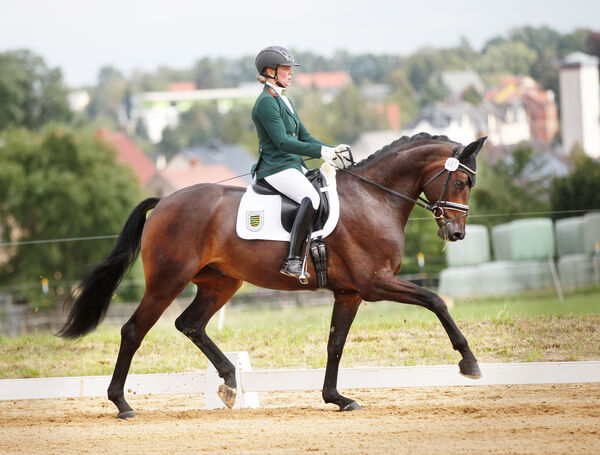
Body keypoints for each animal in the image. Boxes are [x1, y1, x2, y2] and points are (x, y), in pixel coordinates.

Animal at [58, 131, 486, 416]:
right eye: (461, 180)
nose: (456, 234)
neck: (374, 197)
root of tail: (164, 201)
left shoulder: (350, 292)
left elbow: (335, 344)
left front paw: (337, 398)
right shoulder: (374, 283)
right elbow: (435, 299)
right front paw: (469, 363)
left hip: (221, 282)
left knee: (190, 323)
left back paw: (230, 383)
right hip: (167, 281)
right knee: (134, 331)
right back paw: (121, 403)